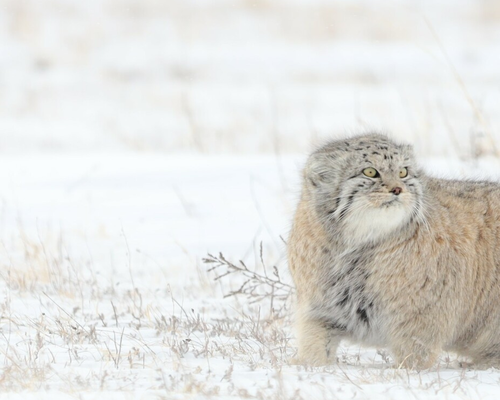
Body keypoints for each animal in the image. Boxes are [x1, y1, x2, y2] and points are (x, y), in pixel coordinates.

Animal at [290, 134, 500, 368]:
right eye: (370, 171)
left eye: (403, 172)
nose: (398, 189)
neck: (354, 247)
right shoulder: (319, 308)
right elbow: (314, 344)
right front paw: (309, 366)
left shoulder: (421, 317)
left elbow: (415, 356)